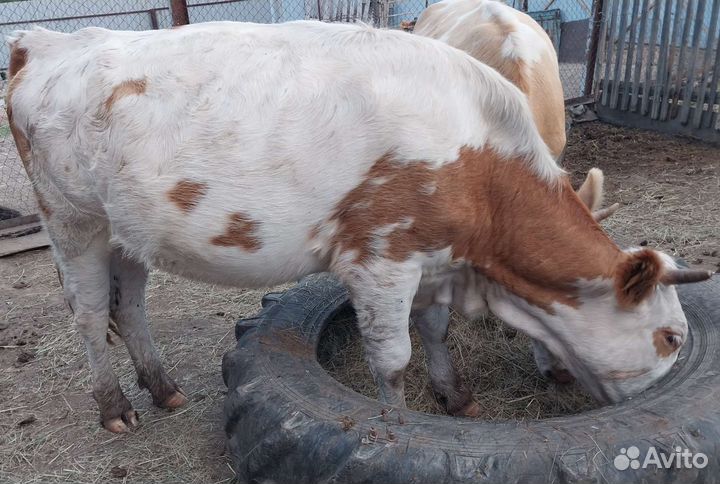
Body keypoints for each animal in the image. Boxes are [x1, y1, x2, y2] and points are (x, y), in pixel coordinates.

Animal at [5, 21, 712, 432]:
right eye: (671, 337)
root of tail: (47, 40)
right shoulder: (382, 255)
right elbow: (392, 358)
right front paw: (398, 418)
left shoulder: (432, 254)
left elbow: (434, 330)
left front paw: (455, 396)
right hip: (71, 220)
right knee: (90, 316)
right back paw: (115, 407)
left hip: (129, 228)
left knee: (130, 307)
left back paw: (163, 388)